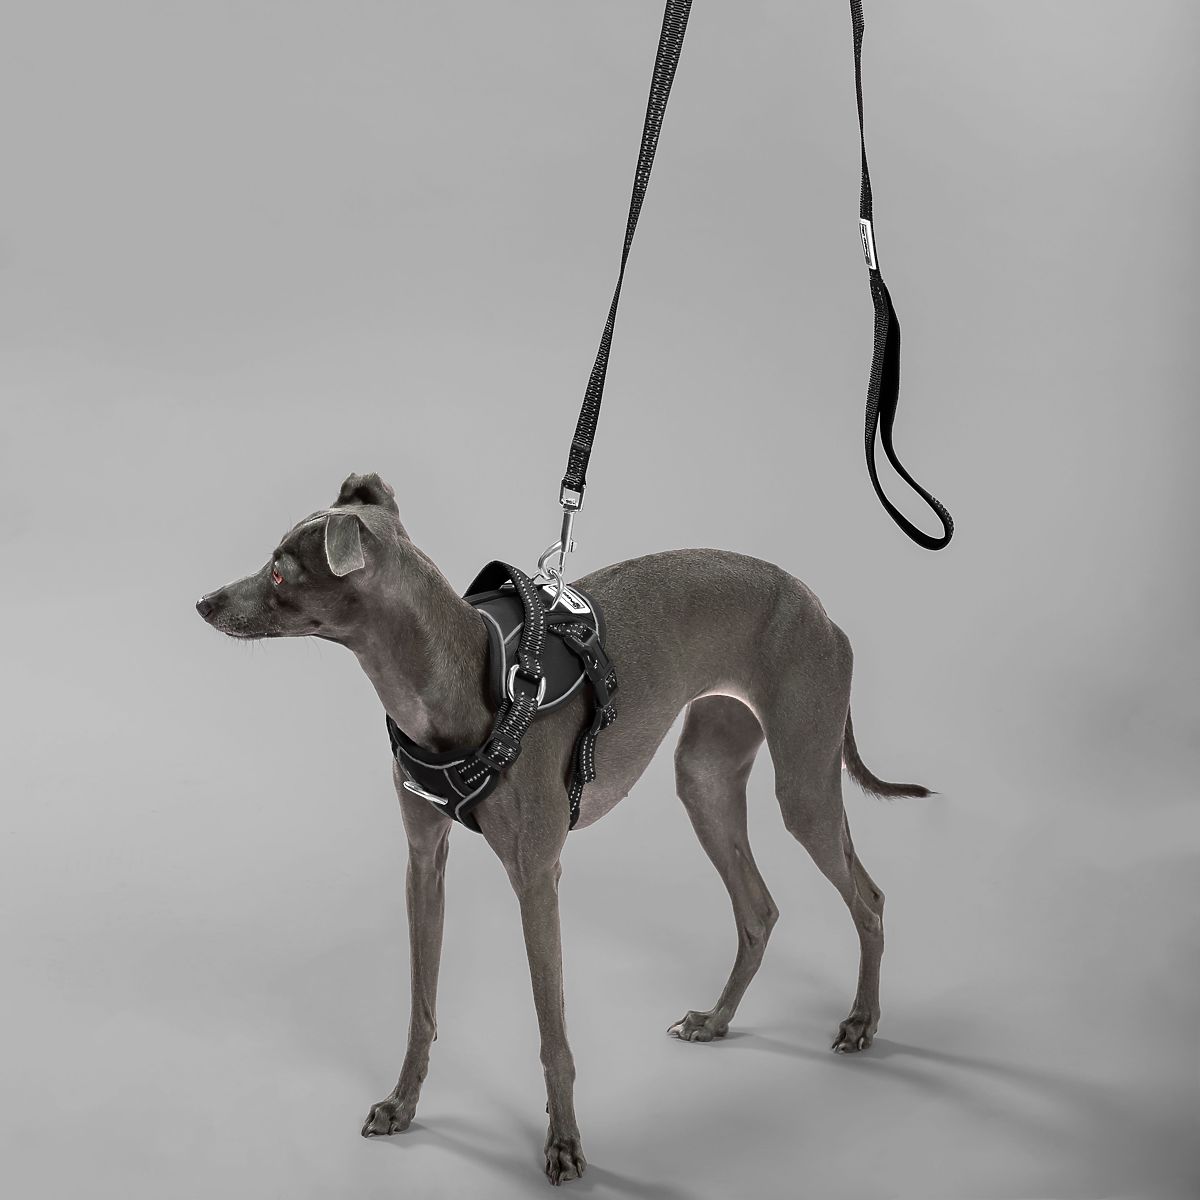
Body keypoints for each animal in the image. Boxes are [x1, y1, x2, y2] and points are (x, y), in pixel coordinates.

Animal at [196, 471, 931, 1185]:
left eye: (281, 571)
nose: (203, 602)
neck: (459, 674)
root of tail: (818, 606)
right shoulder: (423, 860)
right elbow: (420, 1006)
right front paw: (402, 1104)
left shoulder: (536, 876)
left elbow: (553, 1033)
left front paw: (565, 1146)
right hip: (706, 780)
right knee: (758, 909)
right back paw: (716, 1020)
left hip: (803, 785)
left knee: (868, 897)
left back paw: (861, 1022)